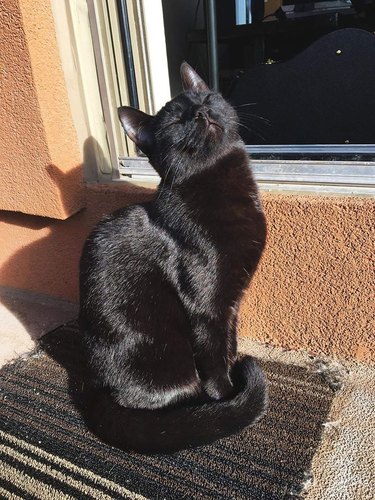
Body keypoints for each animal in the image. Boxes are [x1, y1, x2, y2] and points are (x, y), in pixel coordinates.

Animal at [78, 62, 268, 454]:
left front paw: (233, 374)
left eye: (207, 98)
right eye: (176, 122)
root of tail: (93, 385)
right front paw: (228, 399)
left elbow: (228, 346)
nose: (200, 113)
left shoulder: (230, 305)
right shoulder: (206, 308)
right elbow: (214, 361)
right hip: (165, 352)